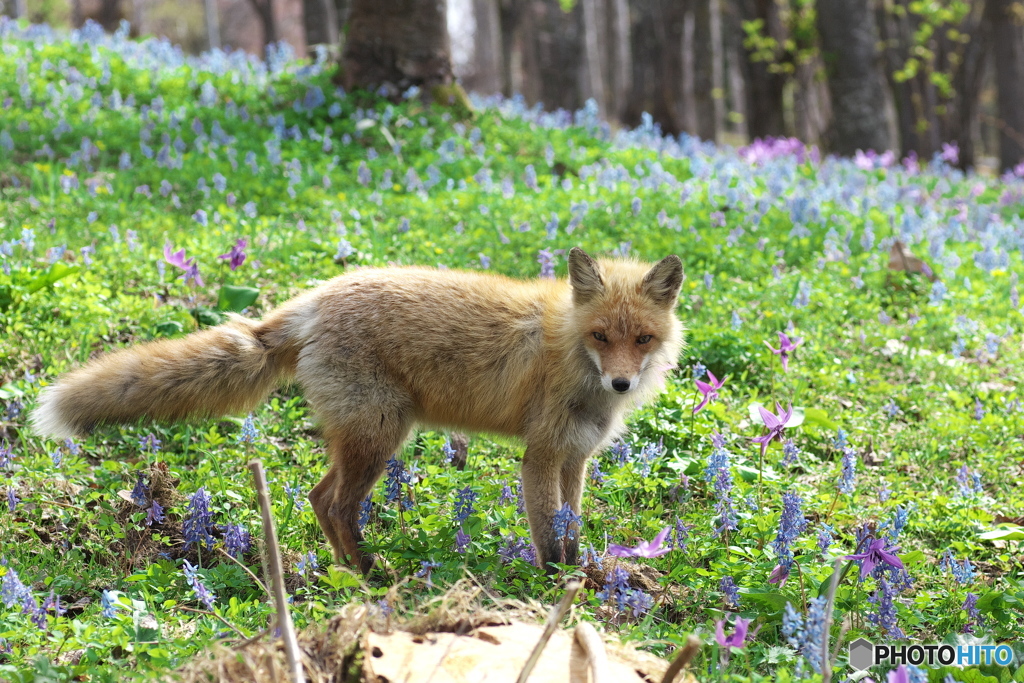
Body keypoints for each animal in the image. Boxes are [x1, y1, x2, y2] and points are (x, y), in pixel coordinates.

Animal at [32, 248, 684, 573]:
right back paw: (370, 573)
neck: (569, 350)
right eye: (601, 336)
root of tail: (314, 299)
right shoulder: (542, 455)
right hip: (380, 434)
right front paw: (556, 589)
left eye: (642, 339)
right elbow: (549, 535)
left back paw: (346, 570)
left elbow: (571, 526)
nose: (622, 382)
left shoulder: (574, 456)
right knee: (339, 505)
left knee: (320, 499)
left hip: (362, 437)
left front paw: (583, 577)